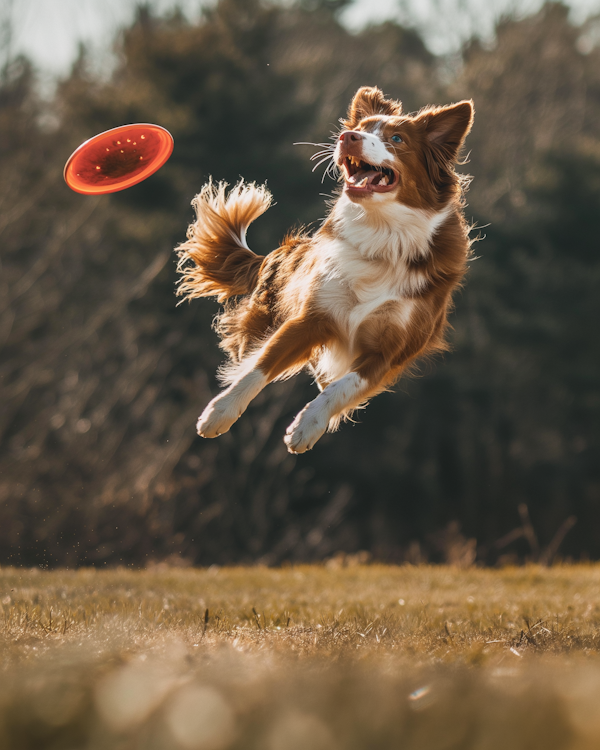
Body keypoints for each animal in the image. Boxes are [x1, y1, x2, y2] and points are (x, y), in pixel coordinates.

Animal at [176, 86, 476, 456]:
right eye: (361, 127)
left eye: (396, 139)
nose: (348, 137)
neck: (384, 235)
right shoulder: (310, 318)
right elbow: (260, 366)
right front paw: (221, 411)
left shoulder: (388, 353)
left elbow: (342, 387)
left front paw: (308, 426)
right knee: (250, 351)